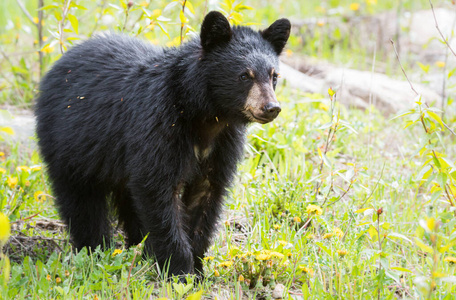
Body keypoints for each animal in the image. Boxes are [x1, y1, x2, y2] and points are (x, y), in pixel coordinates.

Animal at [36, 11, 292, 278]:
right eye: (244, 75)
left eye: (274, 76)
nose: (271, 108)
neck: (205, 115)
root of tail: (58, 64)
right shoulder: (158, 124)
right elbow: (157, 189)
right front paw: (179, 269)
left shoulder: (223, 143)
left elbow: (205, 194)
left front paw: (197, 269)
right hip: (70, 143)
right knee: (81, 201)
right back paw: (95, 248)